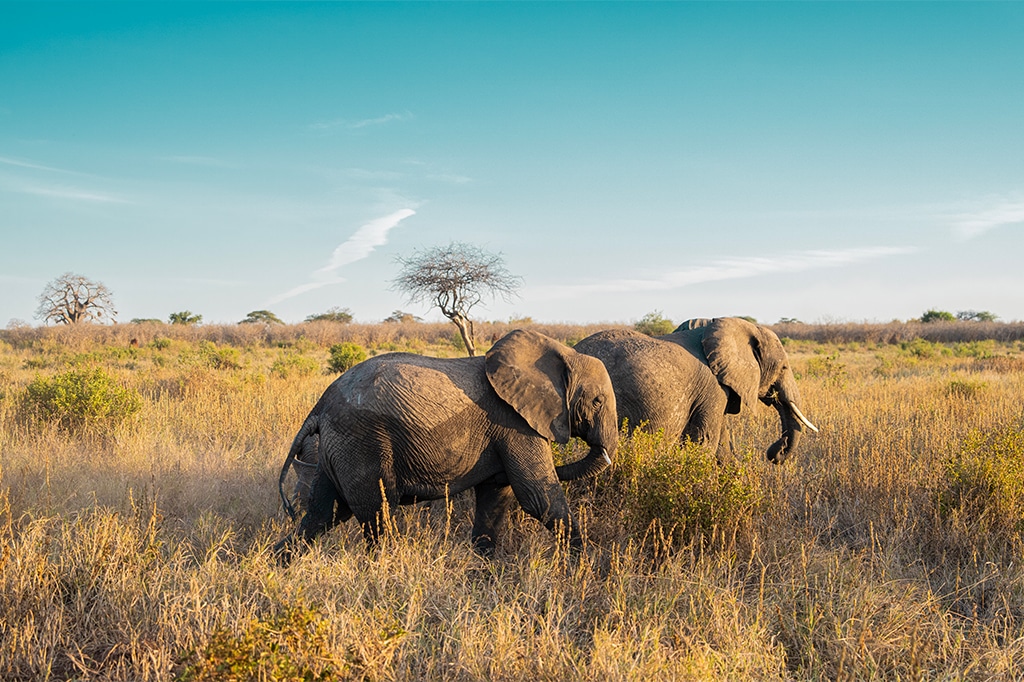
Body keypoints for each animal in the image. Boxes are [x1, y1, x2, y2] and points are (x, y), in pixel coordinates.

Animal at [274, 329, 618, 558]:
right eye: (597, 402)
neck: (561, 354)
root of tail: (319, 407)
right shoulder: (515, 423)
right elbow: (538, 496)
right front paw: (587, 564)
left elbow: (497, 495)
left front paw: (484, 569)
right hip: (361, 442)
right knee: (376, 514)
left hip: (338, 448)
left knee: (323, 513)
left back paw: (277, 565)